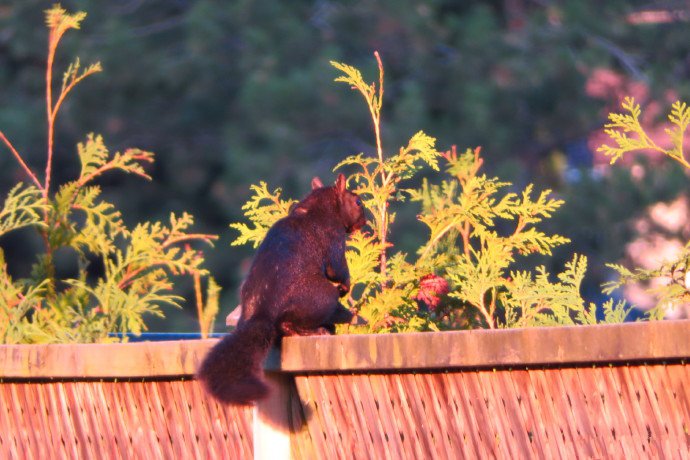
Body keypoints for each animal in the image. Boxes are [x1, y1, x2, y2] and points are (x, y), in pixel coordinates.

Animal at [196, 174, 362, 404]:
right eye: (357, 202)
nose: (364, 221)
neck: (316, 208)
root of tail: (261, 312)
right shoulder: (333, 239)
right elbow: (337, 269)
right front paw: (345, 287)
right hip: (321, 296)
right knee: (288, 323)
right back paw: (317, 329)